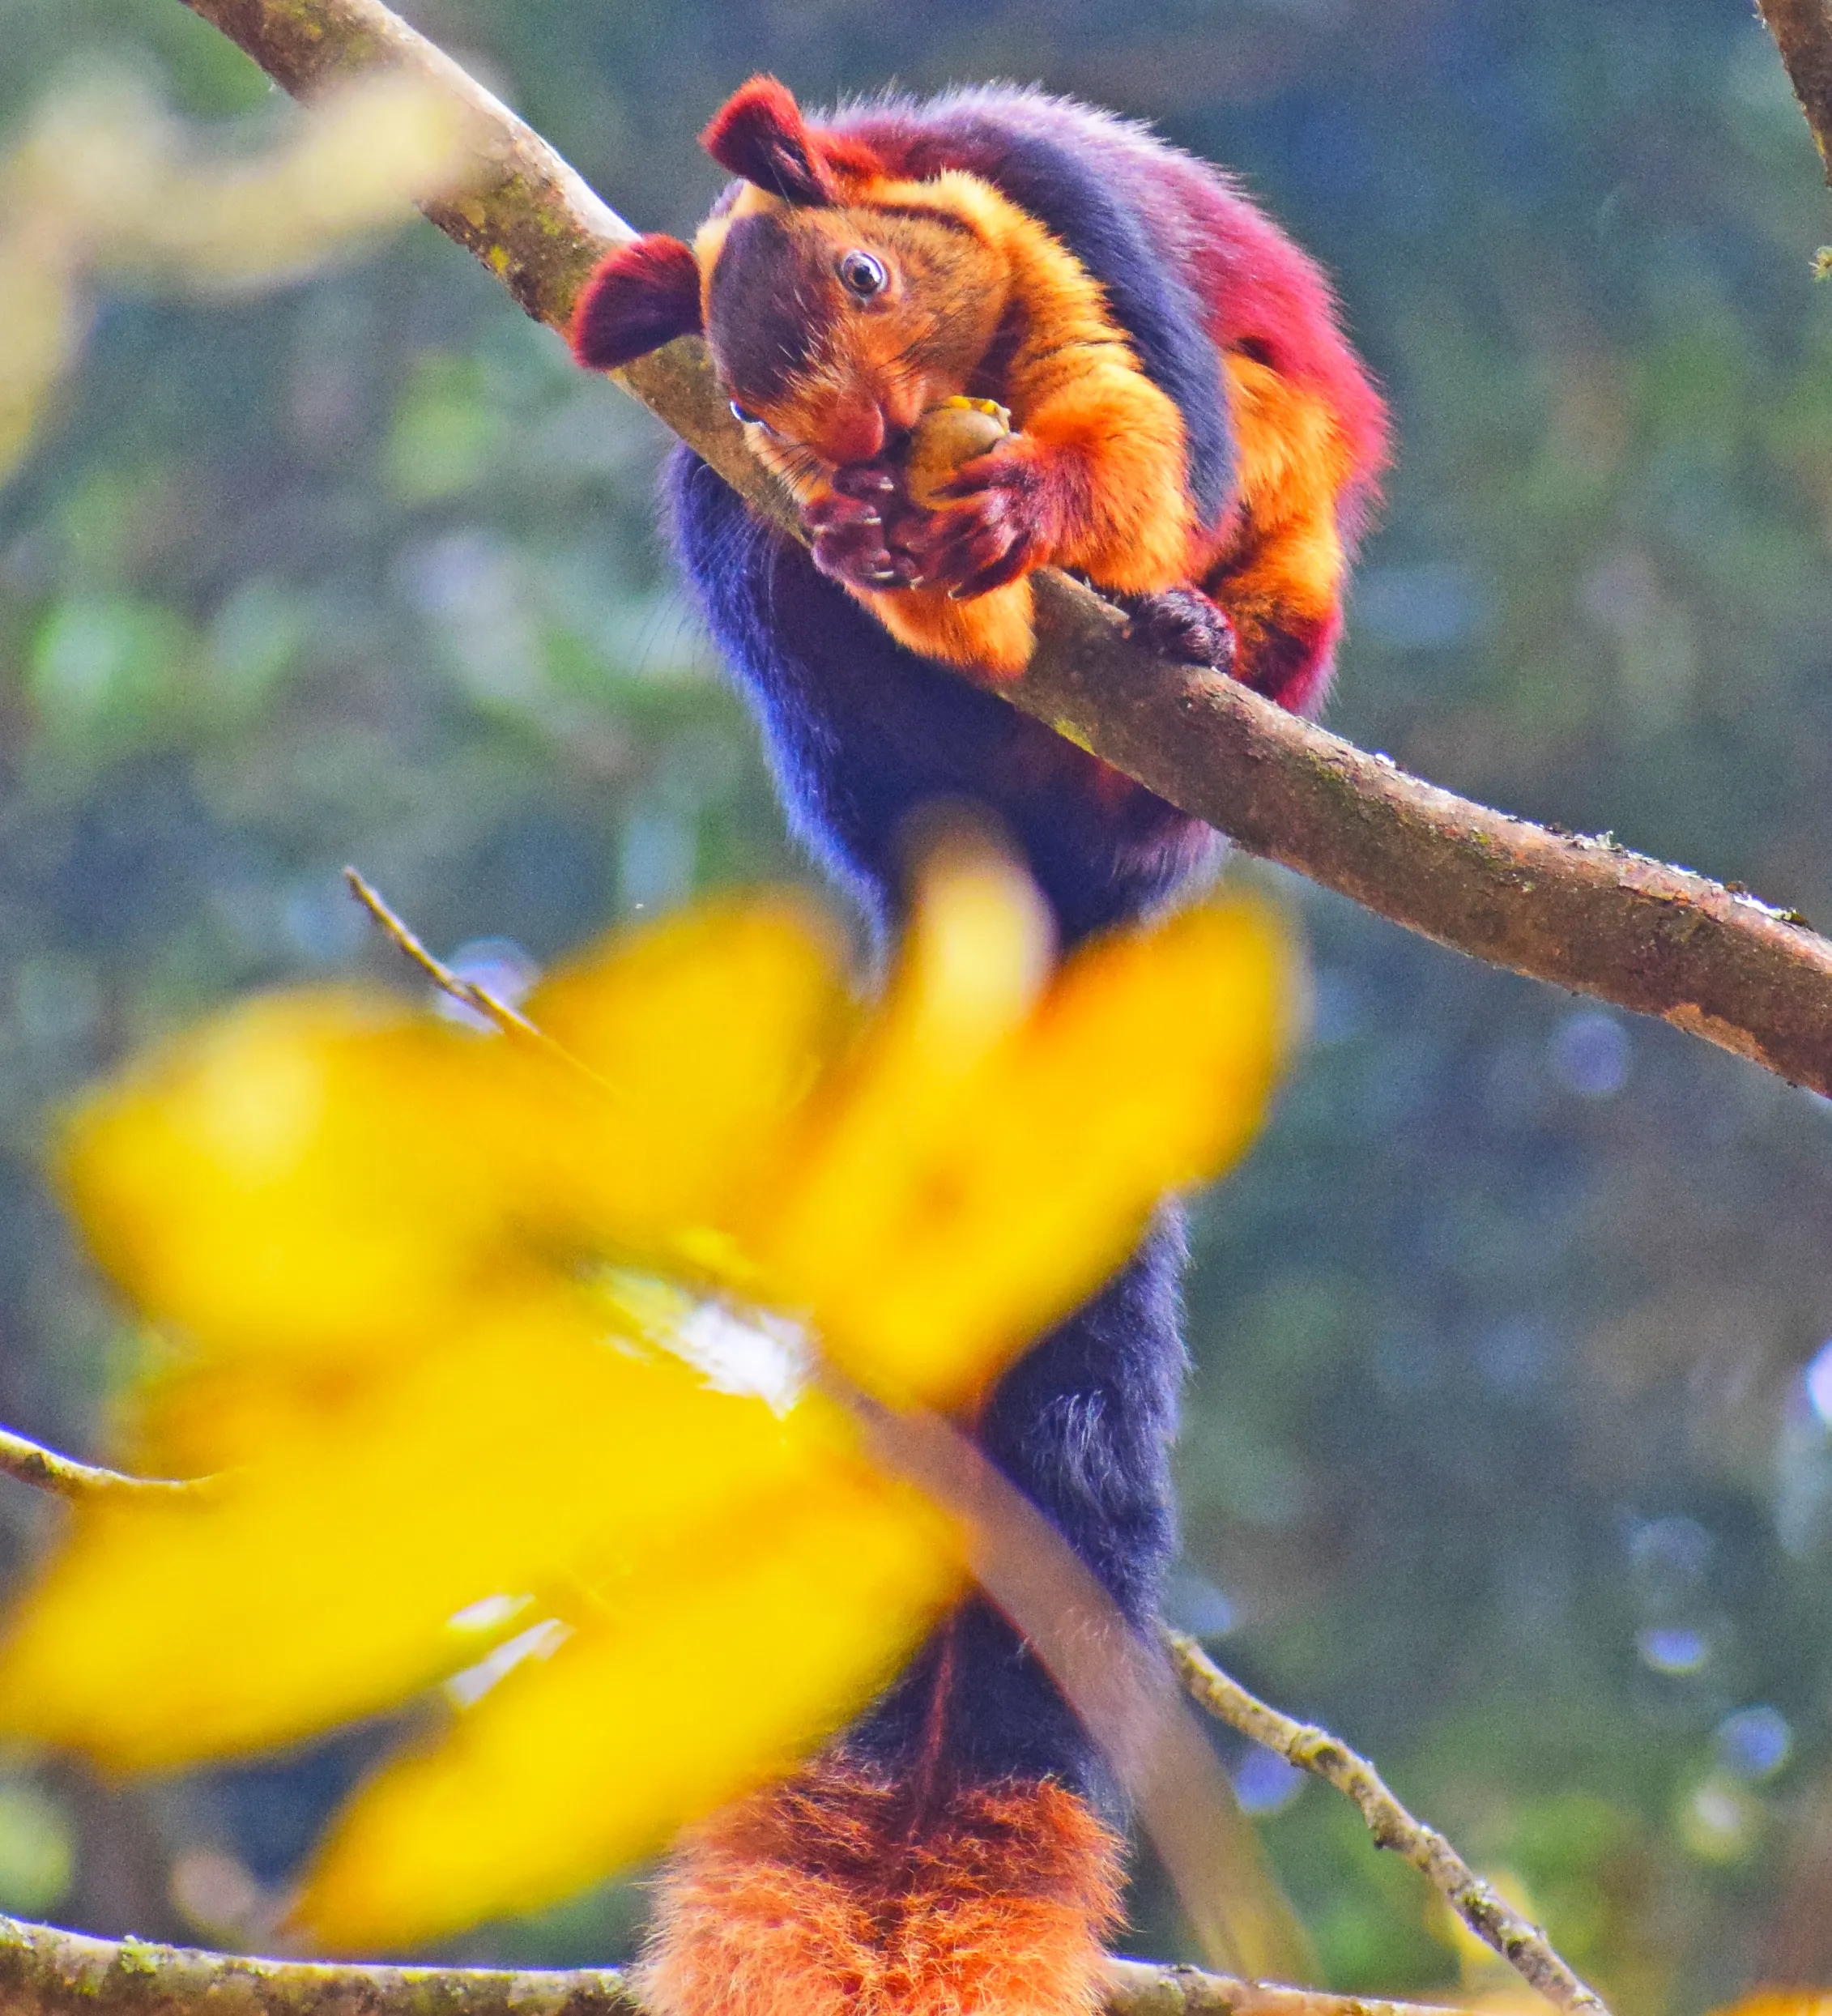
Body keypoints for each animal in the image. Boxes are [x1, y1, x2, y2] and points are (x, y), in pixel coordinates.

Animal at [571, 76, 1387, 2016]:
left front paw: (1024, 502)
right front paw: (883, 540)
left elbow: (1142, 436)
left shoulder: (1080, 236)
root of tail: (1023, 877)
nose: (868, 442)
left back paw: (1192, 639)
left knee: (1246, 529)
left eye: (870, 277)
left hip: (1285, 604)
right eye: (756, 395)